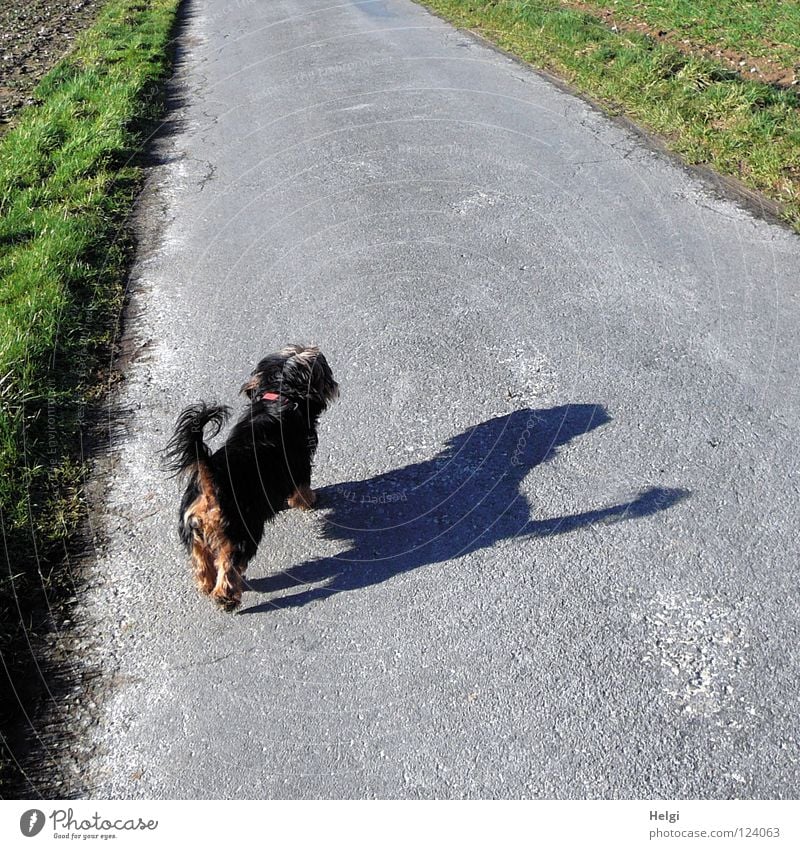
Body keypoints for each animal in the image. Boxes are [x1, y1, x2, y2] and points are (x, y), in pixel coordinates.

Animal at [162, 344, 338, 608]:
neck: (280, 397)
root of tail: (210, 482)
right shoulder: (299, 466)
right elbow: (302, 488)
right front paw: (309, 501)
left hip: (195, 536)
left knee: (203, 564)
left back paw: (207, 585)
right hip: (242, 532)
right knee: (228, 566)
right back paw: (227, 598)